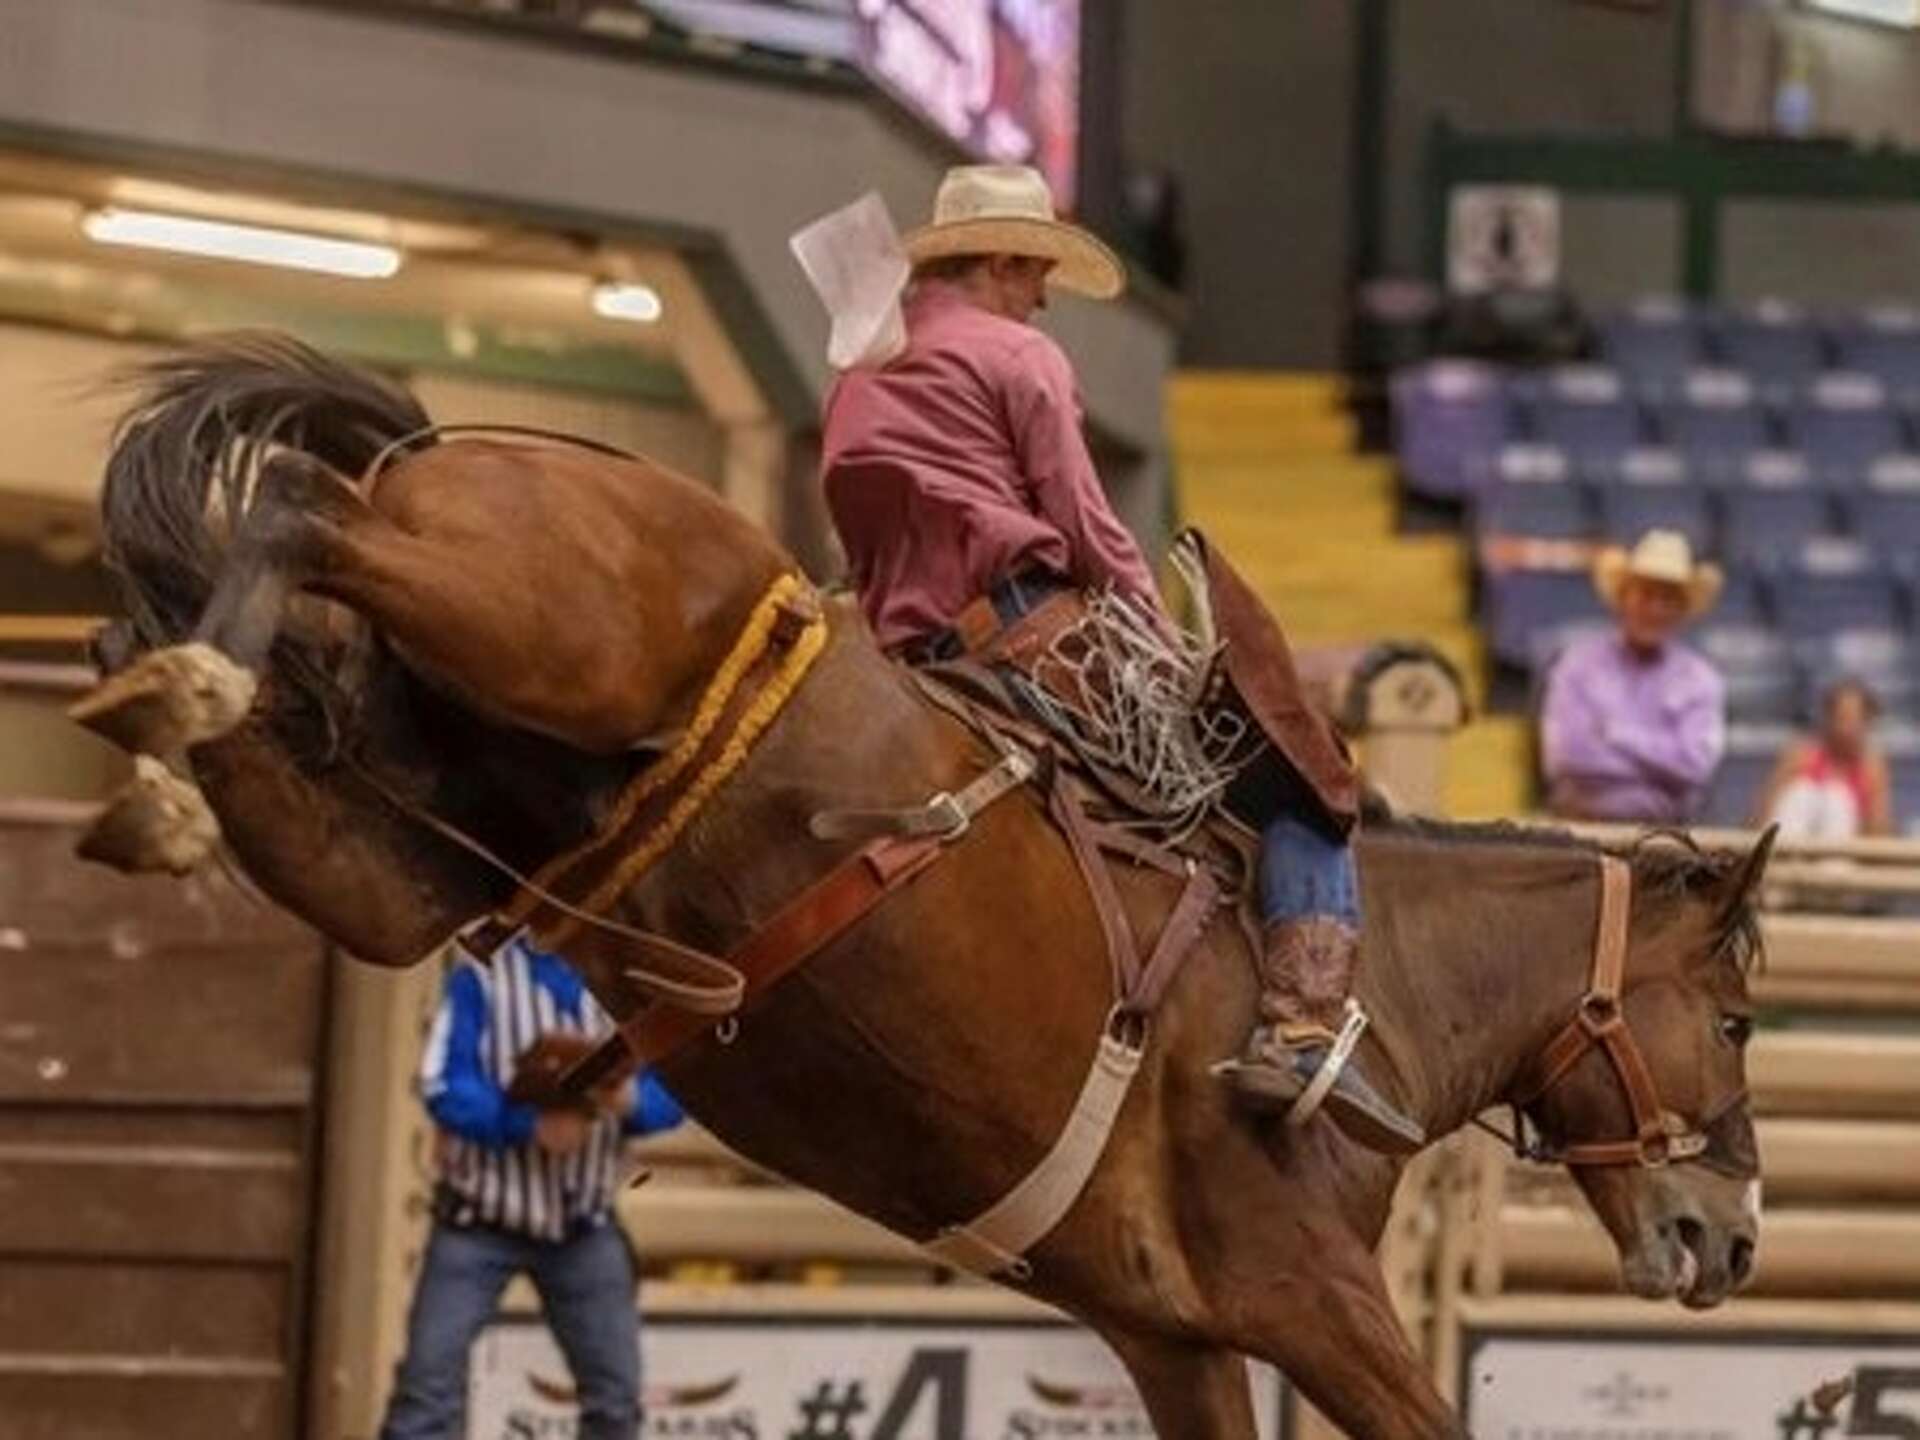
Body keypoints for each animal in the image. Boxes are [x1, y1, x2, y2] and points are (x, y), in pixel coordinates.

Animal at [69, 335, 1770, 1439]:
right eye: (1743, 1017)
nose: (1734, 1239)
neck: (1389, 991)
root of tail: (458, 444)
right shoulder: (1310, 1294)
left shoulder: (1174, 1336)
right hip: (539, 626)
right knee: (298, 501)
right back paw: (172, 680)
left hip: (409, 856)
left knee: (303, 752)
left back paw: (155, 721)